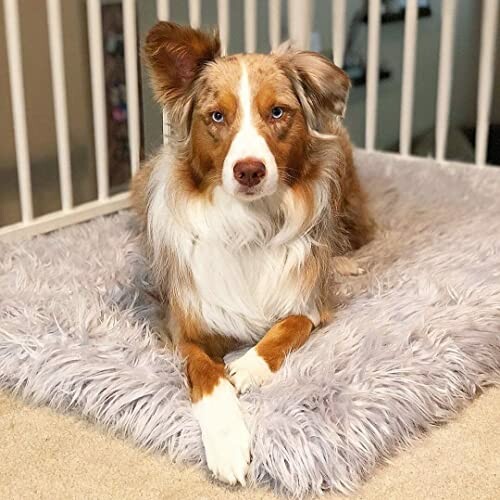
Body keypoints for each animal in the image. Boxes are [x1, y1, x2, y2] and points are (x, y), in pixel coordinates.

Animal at [131, 22, 374, 484]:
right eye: (217, 116)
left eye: (277, 112)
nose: (249, 170)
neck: (249, 222)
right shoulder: (184, 327)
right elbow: (206, 375)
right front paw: (227, 444)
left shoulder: (308, 303)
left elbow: (286, 328)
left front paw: (247, 366)